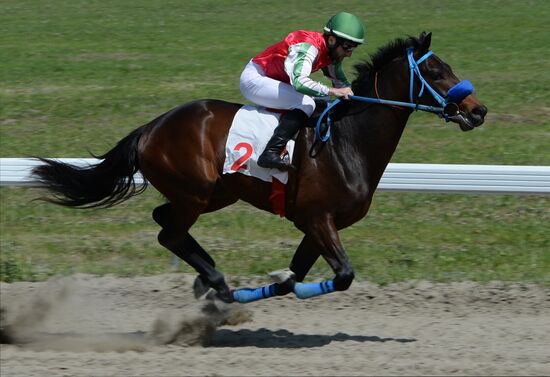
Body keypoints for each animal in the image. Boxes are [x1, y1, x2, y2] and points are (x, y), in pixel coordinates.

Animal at [31, 31, 488, 302]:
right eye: (434, 70)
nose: (477, 110)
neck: (347, 142)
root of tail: (150, 127)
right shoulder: (317, 218)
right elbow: (341, 275)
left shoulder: (318, 224)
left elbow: (294, 278)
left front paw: (277, 282)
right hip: (195, 192)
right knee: (169, 233)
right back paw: (216, 284)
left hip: (217, 193)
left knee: (165, 221)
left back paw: (209, 279)